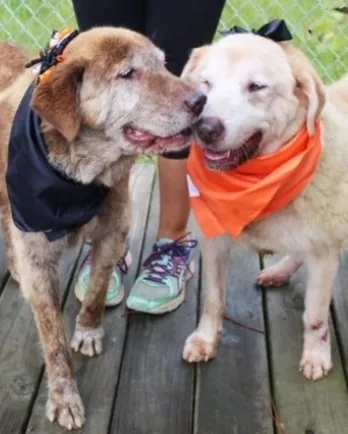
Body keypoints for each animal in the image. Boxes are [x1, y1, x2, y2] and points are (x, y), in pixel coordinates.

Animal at [0, 28, 204, 430]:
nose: (201, 100)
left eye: (163, 65)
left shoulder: (113, 232)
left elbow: (95, 292)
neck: (77, 178)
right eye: (128, 74)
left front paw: (88, 331)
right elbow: (53, 340)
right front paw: (64, 397)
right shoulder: (38, 259)